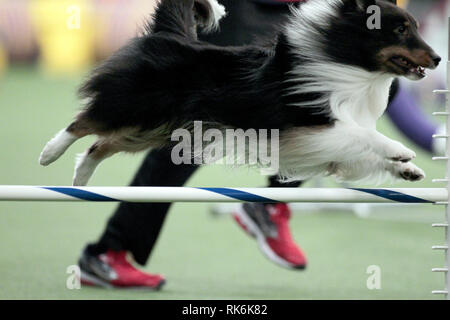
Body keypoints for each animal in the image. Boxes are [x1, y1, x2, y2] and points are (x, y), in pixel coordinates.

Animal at [38, 0, 440, 185]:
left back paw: (80, 178)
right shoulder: (310, 125)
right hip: (135, 105)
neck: (349, 63)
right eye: (400, 29)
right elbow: (364, 135)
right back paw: (48, 153)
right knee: (85, 122)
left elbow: (363, 150)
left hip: (154, 127)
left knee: (100, 144)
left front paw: (408, 171)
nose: (437, 58)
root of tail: (172, 34)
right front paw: (401, 152)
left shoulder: (321, 144)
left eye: (414, 25)